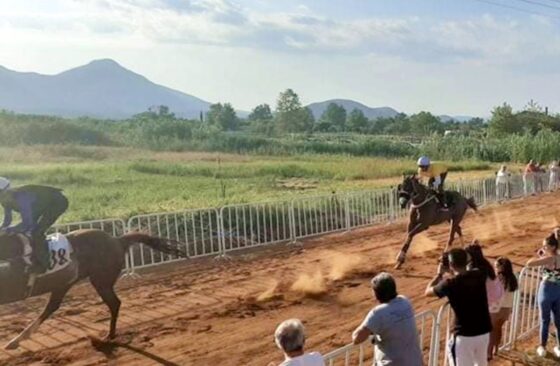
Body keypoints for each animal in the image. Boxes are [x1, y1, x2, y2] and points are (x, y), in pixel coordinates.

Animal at [0, 230, 187, 350]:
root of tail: (117, 240)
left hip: (100, 281)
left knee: (114, 304)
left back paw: (108, 337)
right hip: (66, 283)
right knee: (51, 307)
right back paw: (16, 340)